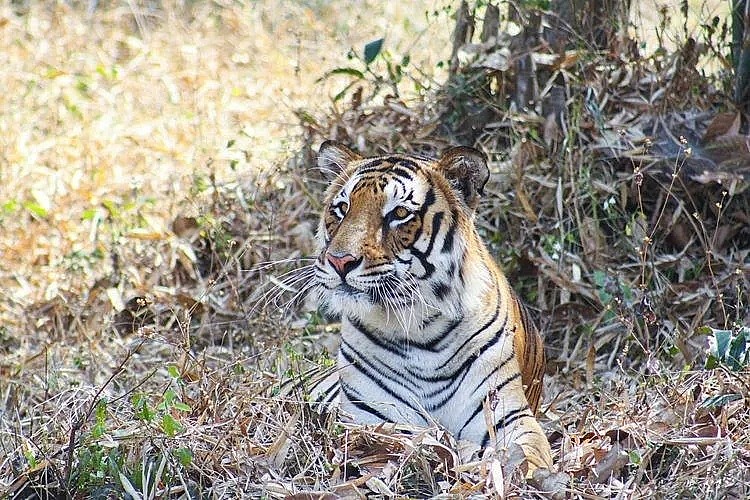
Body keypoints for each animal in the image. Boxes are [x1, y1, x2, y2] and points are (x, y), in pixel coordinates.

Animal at [306, 140, 552, 472]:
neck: (420, 329)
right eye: (342, 208)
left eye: (398, 213)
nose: (339, 261)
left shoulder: (507, 415)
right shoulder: (372, 418)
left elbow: (527, 456)